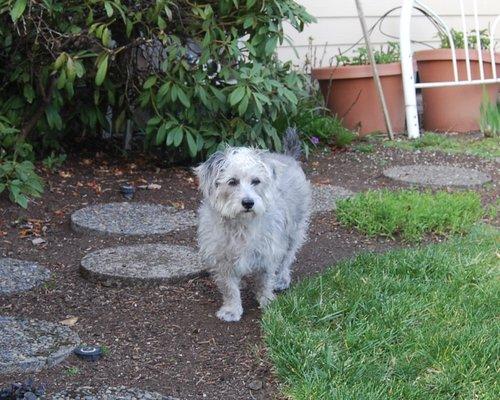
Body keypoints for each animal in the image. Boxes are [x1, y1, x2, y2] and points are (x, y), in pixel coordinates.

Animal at [194, 129, 308, 322]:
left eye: (256, 181)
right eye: (232, 181)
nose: (248, 203)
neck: (241, 225)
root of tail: (288, 157)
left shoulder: (269, 253)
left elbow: (265, 281)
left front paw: (267, 301)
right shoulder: (223, 259)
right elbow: (229, 288)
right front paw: (232, 309)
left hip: (294, 231)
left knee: (287, 258)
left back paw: (281, 279)